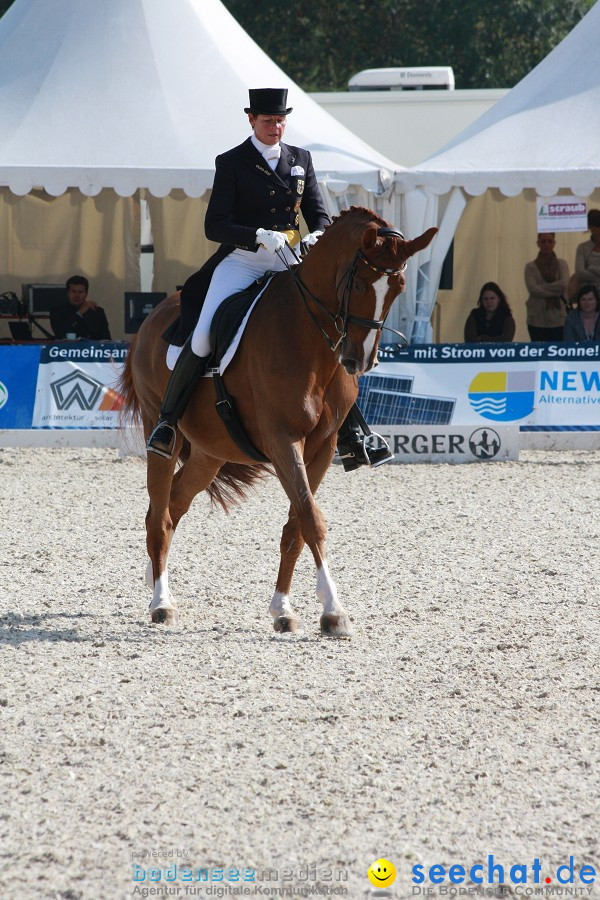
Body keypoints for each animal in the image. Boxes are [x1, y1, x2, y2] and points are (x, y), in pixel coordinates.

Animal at [118, 207, 436, 636]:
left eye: (399, 287)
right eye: (360, 283)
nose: (358, 361)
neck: (309, 339)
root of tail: (149, 322)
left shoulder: (323, 446)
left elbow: (296, 525)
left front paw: (283, 609)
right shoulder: (283, 439)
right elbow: (310, 518)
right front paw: (334, 611)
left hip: (210, 452)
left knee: (173, 506)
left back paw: (153, 577)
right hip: (162, 428)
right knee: (159, 512)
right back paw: (161, 602)